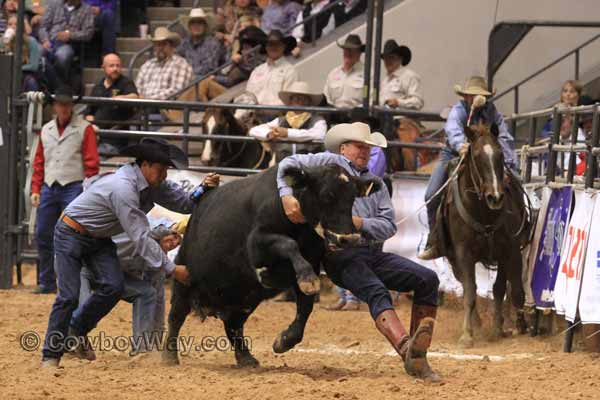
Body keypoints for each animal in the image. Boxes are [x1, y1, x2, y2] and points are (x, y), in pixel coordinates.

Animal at [442, 123, 532, 348]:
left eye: (500, 155)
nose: (495, 197)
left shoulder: (510, 251)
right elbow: (470, 292)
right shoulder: (463, 254)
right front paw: (467, 335)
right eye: (476, 156)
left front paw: (513, 326)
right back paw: (477, 323)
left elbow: (510, 290)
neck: (484, 214)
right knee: (466, 285)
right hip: (454, 260)